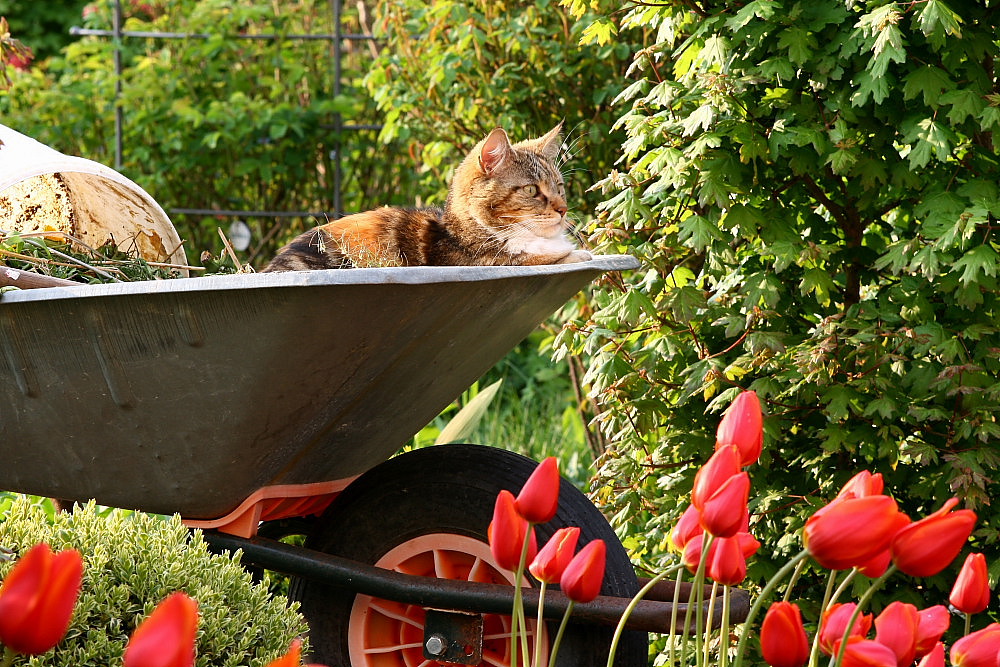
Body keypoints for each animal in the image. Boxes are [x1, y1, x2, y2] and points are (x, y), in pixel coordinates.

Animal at [260, 122, 592, 272]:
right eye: (531, 190)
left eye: (559, 186)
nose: (563, 209)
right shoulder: (485, 261)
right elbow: (549, 258)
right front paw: (576, 255)